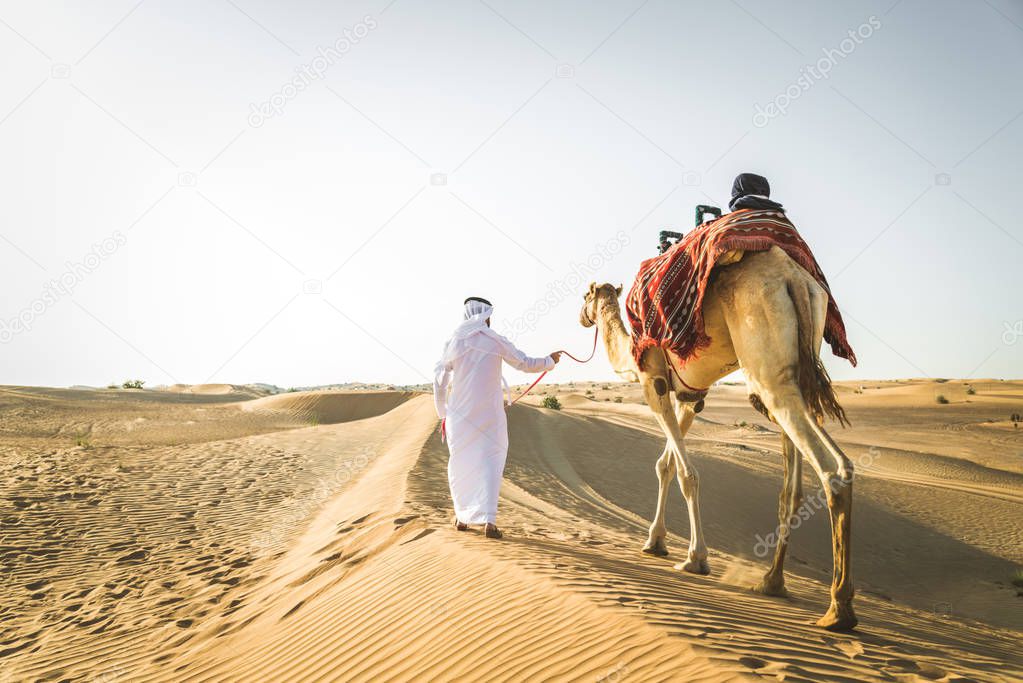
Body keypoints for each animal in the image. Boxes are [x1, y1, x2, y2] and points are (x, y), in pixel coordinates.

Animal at [581, 244, 859, 629]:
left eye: (585, 296)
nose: (582, 317)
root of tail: (795, 280)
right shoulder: (691, 395)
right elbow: (665, 465)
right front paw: (655, 542)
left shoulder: (653, 381)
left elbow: (686, 474)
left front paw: (695, 558)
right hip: (797, 369)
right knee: (808, 482)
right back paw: (773, 583)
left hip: (767, 366)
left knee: (830, 471)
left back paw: (837, 610)